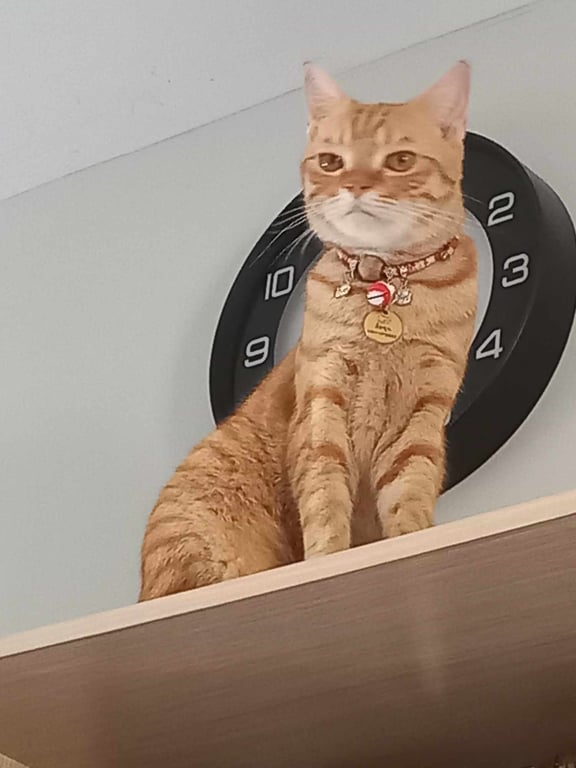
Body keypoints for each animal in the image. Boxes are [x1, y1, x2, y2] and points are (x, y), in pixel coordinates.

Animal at [139, 60, 477, 601]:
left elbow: (410, 491)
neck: (385, 280)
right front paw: (327, 558)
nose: (355, 187)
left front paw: (413, 537)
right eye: (331, 162)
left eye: (400, 160)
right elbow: (324, 496)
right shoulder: (322, 401)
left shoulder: (424, 411)